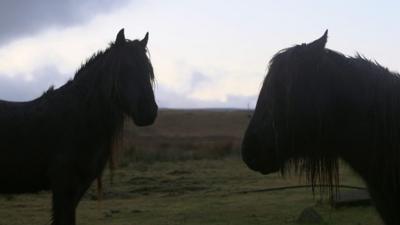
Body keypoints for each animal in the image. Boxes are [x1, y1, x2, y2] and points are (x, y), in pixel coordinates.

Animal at [0, 28, 157, 225]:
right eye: (124, 68)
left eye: (149, 71)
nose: (148, 112)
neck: (78, 119)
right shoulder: (64, 187)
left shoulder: (78, 188)